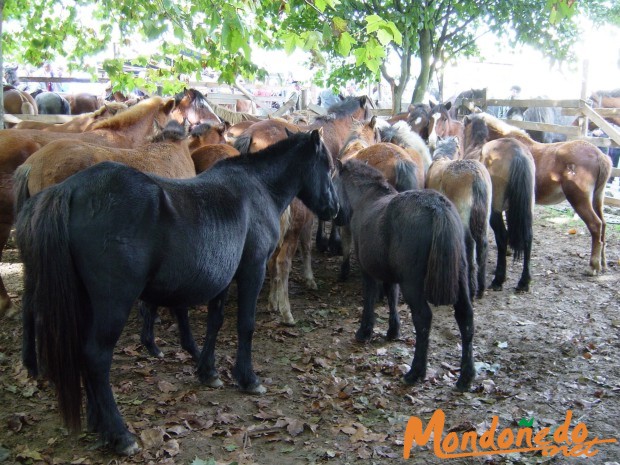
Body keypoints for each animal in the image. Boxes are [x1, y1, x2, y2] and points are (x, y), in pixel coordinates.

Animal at [14, 129, 342, 454]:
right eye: (327, 166)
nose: (335, 208)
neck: (257, 188)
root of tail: (68, 191)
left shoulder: (224, 278)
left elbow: (215, 322)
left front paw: (208, 372)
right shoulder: (253, 270)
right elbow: (245, 326)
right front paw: (248, 378)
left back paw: (99, 423)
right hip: (113, 303)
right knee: (95, 356)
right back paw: (119, 434)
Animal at [334, 160, 474, 392]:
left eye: (333, 179)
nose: (335, 216)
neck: (366, 198)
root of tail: (438, 209)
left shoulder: (368, 271)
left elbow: (369, 299)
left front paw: (365, 331)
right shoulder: (391, 275)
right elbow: (392, 297)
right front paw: (393, 331)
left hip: (413, 284)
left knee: (423, 319)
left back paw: (415, 372)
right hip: (460, 279)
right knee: (466, 319)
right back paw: (465, 377)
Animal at [424, 136, 492, 298]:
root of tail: (476, 175)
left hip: (463, 216)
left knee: (470, 244)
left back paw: (471, 288)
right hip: (484, 218)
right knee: (482, 245)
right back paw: (481, 288)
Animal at [470, 111, 612, 276]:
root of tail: (600, 156)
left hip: (579, 199)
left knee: (596, 225)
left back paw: (593, 266)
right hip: (597, 198)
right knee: (603, 224)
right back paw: (603, 263)